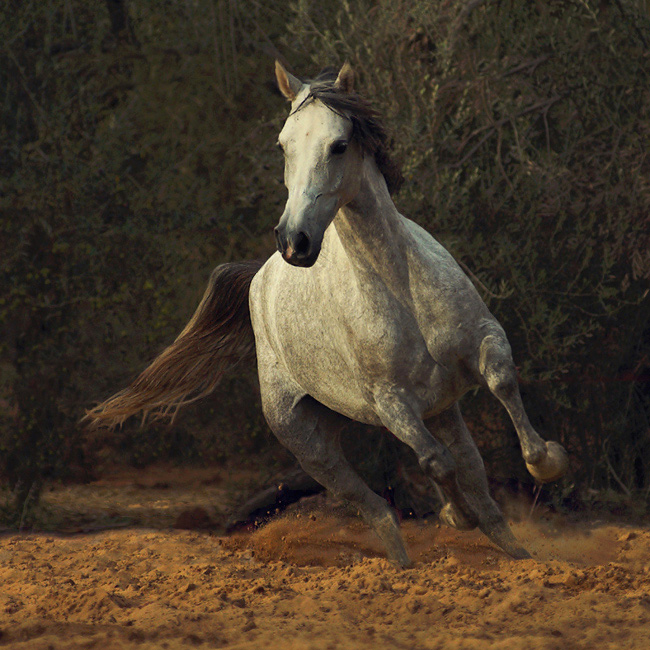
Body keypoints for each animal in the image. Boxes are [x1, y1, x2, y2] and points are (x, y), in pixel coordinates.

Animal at [87, 63, 568, 564]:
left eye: (338, 145)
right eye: (283, 145)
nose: (294, 241)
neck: (402, 290)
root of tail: (261, 274)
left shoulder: (484, 338)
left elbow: (502, 383)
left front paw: (548, 462)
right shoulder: (391, 403)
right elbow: (435, 461)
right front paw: (457, 516)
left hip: (436, 409)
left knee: (479, 487)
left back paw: (519, 555)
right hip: (308, 442)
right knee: (377, 508)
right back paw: (410, 558)